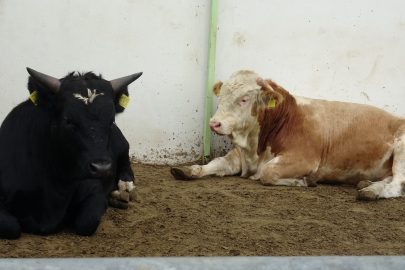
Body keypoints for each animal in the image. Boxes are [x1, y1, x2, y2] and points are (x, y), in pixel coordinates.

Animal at [0, 67, 142, 238]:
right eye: (68, 121)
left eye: (111, 121)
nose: (102, 168)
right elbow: (10, 226)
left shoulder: (95, 192)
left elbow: (87, 221)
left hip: (123, 147)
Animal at [169, 69, 404, 200]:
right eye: (222, 95)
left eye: (244, 99)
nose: (214, 123)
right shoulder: (237, 156)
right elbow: (215, 164)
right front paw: (189, 169)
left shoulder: (304, 159)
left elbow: (267, 172)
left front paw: (304, 181)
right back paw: (368, 184)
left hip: (401, 150)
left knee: (398, 184)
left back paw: (373, 192)